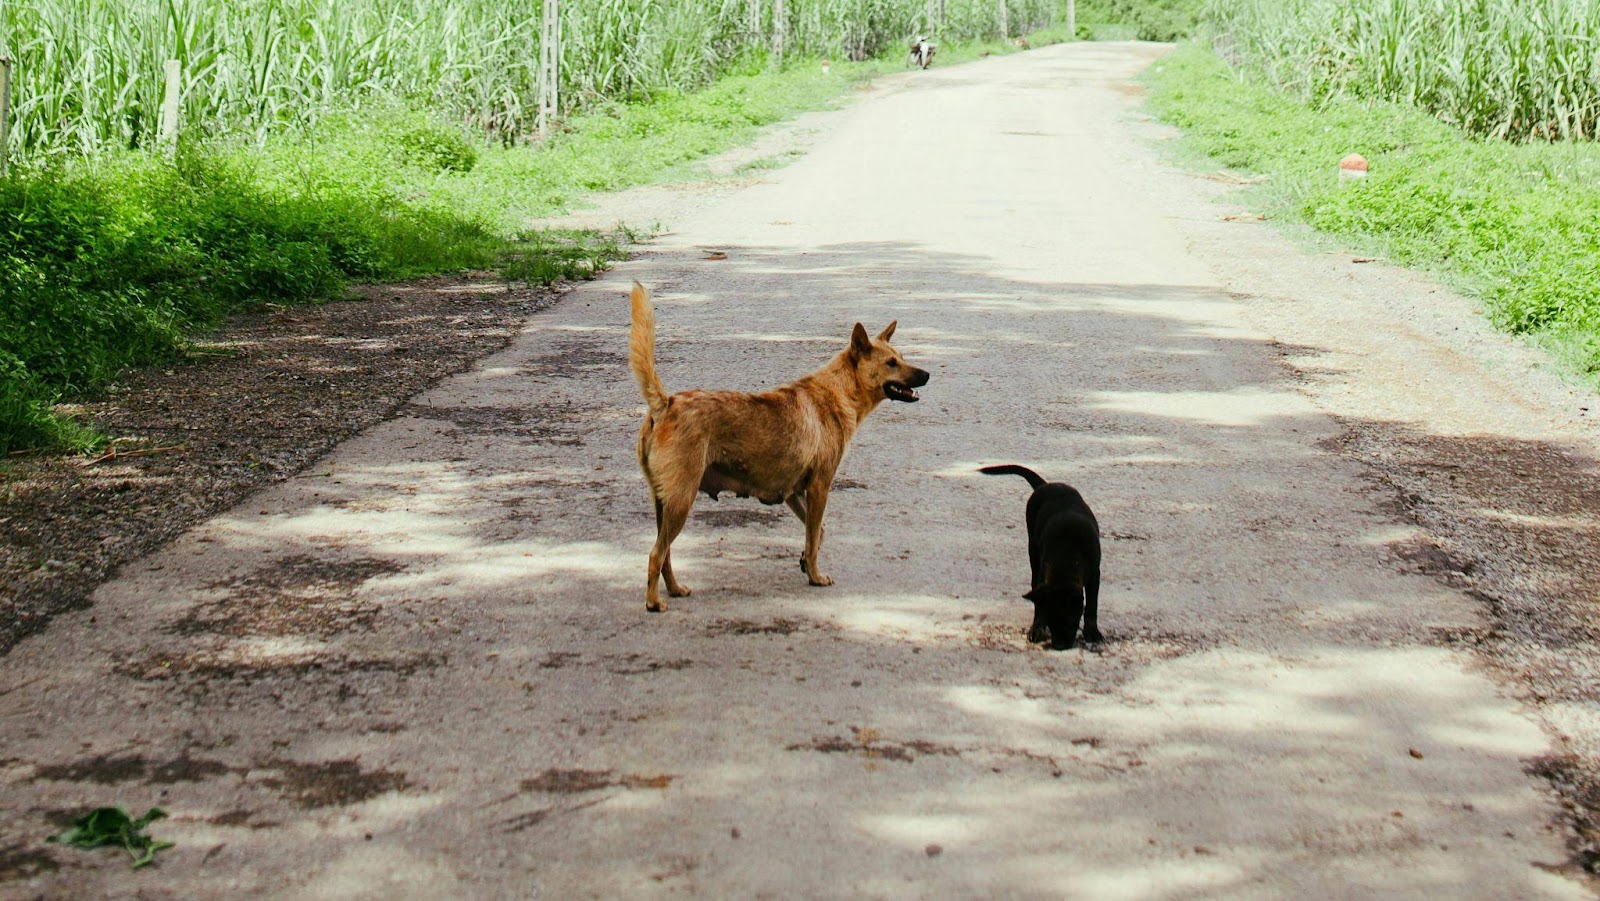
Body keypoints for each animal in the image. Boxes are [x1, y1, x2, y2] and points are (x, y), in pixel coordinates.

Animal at [624, 278, 928, 611]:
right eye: (891, 363)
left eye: (901, 356)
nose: (926, 374)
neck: (839, 391)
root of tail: (665, 404)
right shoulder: (820, 487)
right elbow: (814, 535)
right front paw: (815, 575)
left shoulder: (793, 492)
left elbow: (817, 532)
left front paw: (805, 561)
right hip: (681, 500)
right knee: (656, 554)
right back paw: (654, 602)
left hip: (663, 503)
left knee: (665, 554)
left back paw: (675, 589)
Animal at [972, 464, 1100, 649]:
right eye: (1050, 622)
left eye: (1070, 621)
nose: (1059, 646)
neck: (1067, 558)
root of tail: (1045, 485)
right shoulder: (1043, 573)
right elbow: (1039, 606)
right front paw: (1037, 629)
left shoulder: (1095, 574)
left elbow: (1091, 605)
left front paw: (1093, 632)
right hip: (1032, 548)